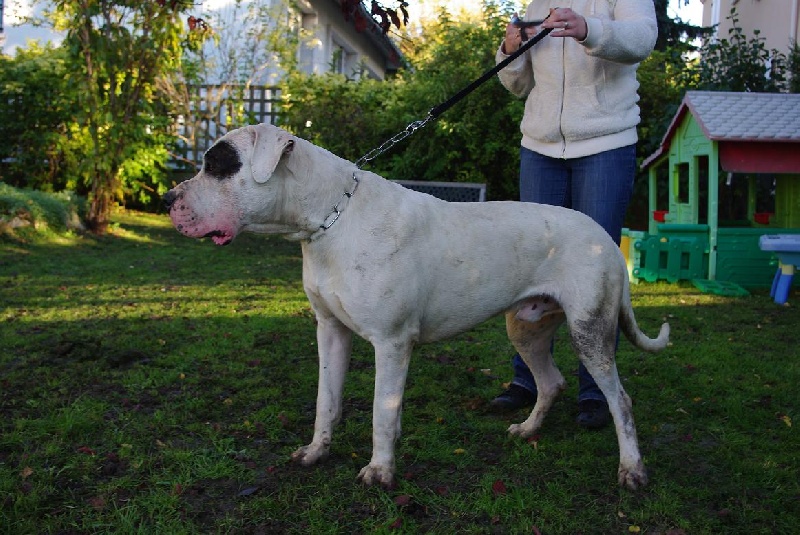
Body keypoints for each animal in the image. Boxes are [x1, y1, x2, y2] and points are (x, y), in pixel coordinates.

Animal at [166, 123, 672, 492]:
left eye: (217, 164)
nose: (168, 199)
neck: (331, 220)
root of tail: (606, 237)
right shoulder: (330, 331)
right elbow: (326, 401)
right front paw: (316, 452)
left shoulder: (391, 344)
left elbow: (381, 411)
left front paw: (379, 471)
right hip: (526, 327)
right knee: (551, 382)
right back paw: (527, 431)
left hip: (590, 332)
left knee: (620, 401)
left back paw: (632, 469)